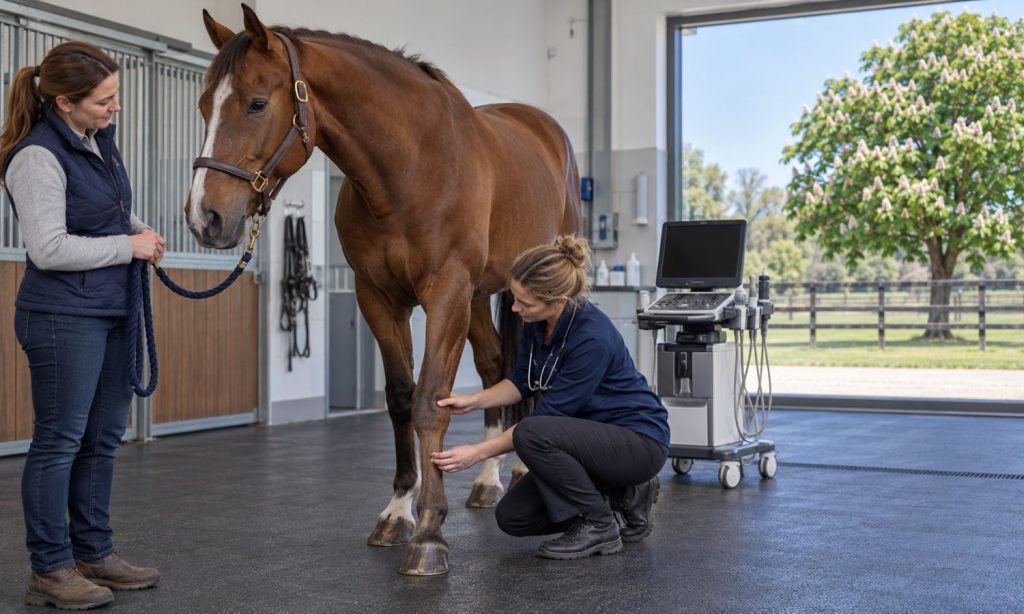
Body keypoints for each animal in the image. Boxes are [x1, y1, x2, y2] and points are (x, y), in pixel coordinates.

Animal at [185, 5, 582, 576]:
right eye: (203, 106)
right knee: (494, 366)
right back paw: (488, 481)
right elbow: (400, 399)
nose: (204, 218)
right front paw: (397, 512)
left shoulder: (445, 294)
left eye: (257, 103)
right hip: (480, 298)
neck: (408, 168)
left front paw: (430, 533)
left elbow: (430, 402)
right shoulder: (379, 297)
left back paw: (524, 472)